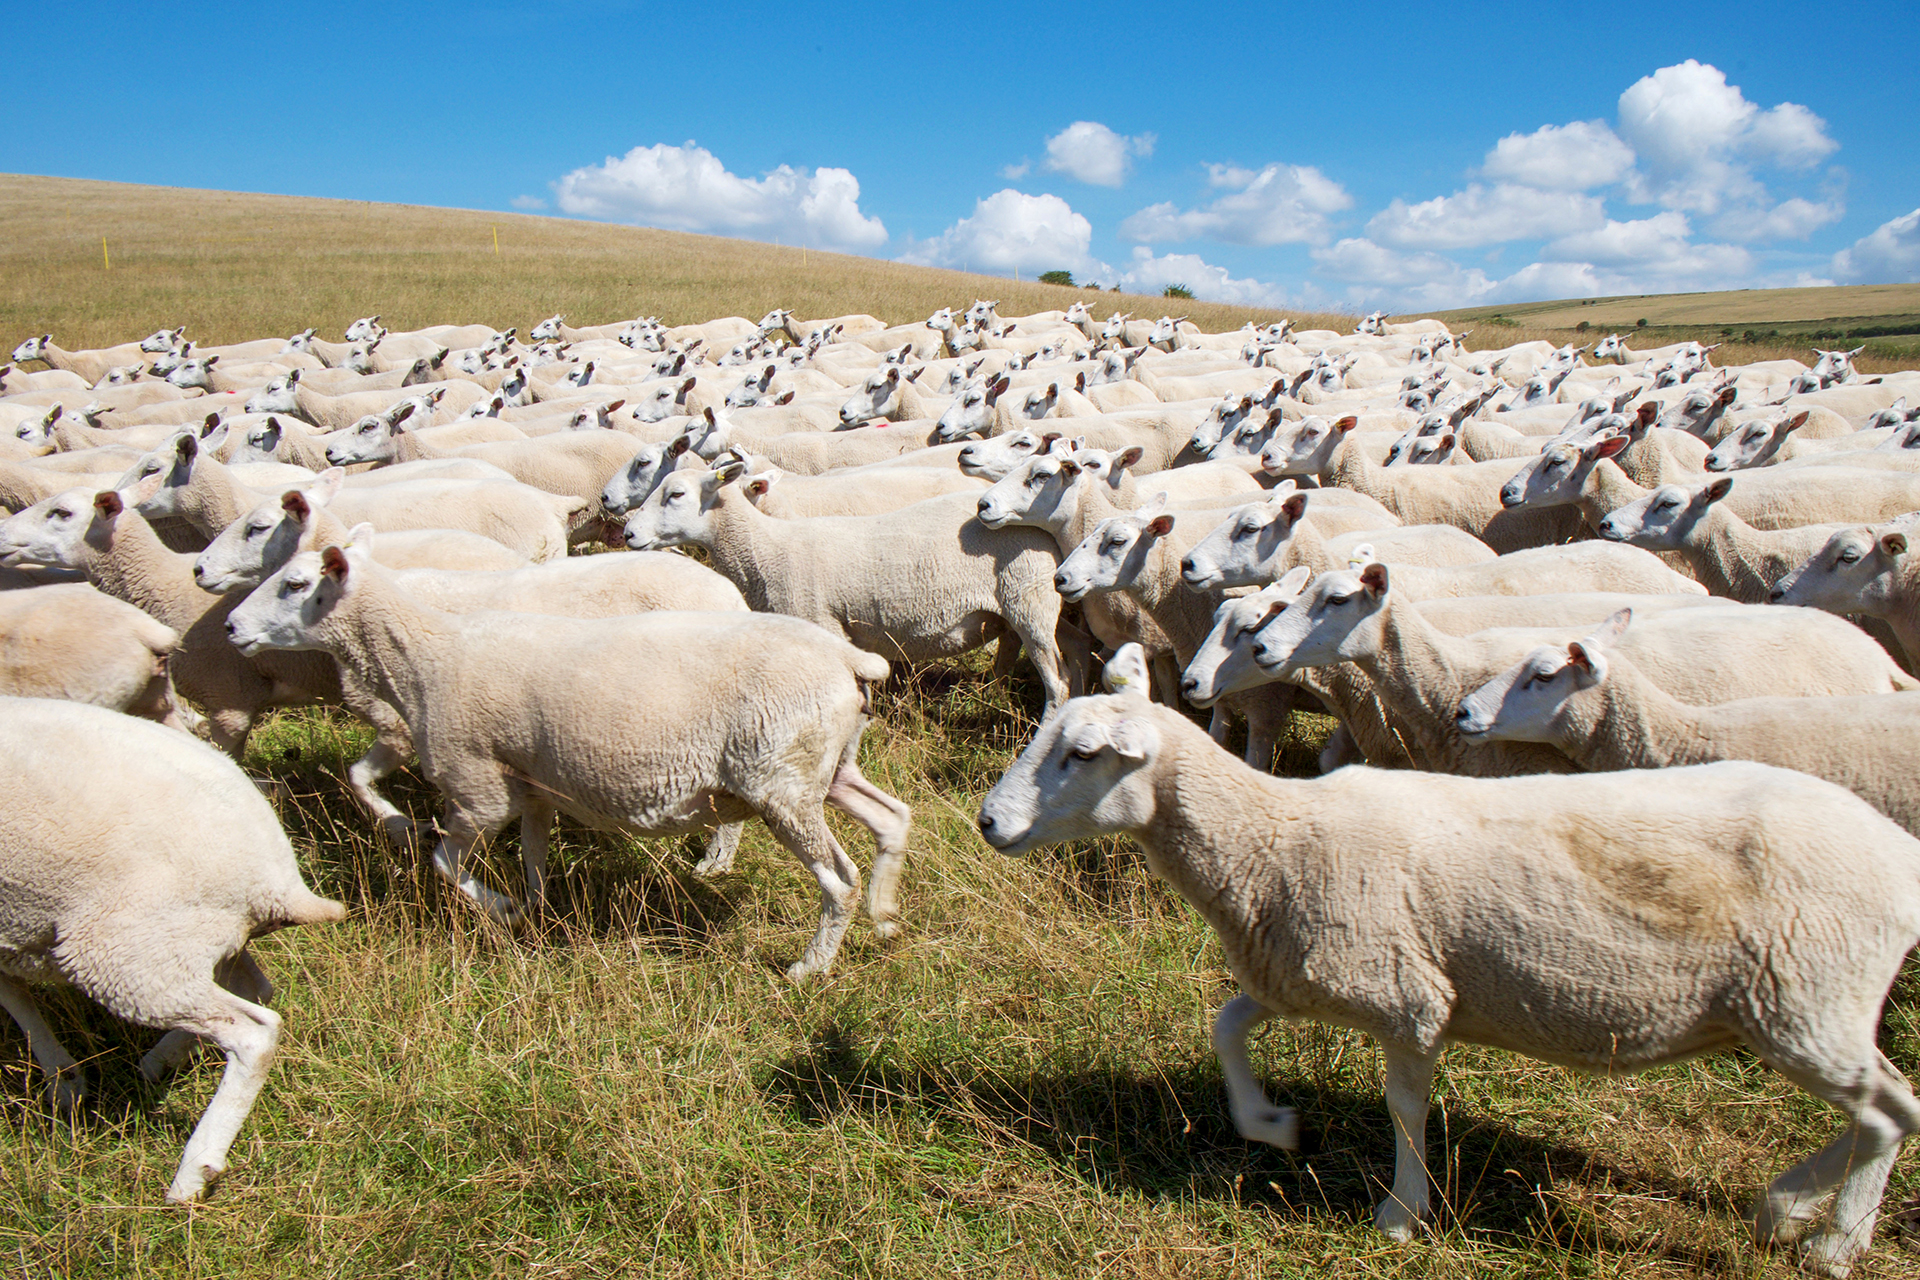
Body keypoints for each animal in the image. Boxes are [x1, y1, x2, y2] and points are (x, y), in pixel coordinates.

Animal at [0, 696, 346, 1202]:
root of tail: (278, 879)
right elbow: (13, 996)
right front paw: (64, 1080)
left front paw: (62, 1080)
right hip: (195, 936)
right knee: (254, 987)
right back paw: (160, 1060)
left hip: (127, 949)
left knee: (253, 1032)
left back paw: (192, 1174)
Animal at [227, 540, 909, 981]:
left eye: (295, 585)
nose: (231, 628)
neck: (428, 658)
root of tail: (849, 660)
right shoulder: (533, 790)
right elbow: (533, 859)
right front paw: (529, 914)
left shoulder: (478, 787)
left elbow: (445, 861)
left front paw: (494, 906)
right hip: (828, 769)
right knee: (892, 818)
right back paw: (884, 917)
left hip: (780, 782)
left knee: (837, 879)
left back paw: (808, 967)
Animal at [623, 460, 1079, 714]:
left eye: (676, 494)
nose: (627, 533)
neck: (765, 551)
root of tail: (1043, 531)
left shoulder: (822, 624)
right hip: (1021, 604)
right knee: (1015, 648)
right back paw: (991, 694)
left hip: (1030, 602)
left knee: (1058, 681)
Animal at [975, 691, 1920, 1276]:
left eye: (1082, 754)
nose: (988, 822)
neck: (1273, 839)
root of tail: (1900, 856)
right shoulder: (1297, 969)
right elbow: (1227, 1026)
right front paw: (1271, 1125)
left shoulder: (1405, 995)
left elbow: (1404, 1106)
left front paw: (1402, 1214)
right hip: (1795, 1007)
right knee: (1888, 1110)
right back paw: (1787, 1207)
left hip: (1807, 995)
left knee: (1888, 1110)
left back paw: (1831, 1240)